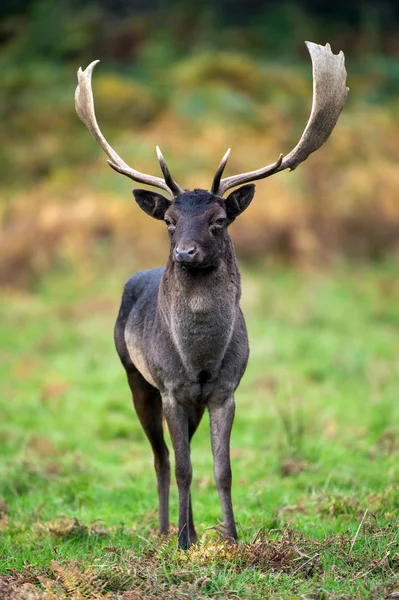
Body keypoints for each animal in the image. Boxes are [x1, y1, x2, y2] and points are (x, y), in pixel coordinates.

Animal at [76, 41, 350, 548]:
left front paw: (232, 537)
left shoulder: (225, 390)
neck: (200, 357)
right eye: (169, 221)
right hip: (133, 374)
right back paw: (166, 529)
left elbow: (223, 470)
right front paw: (187, 541)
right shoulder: (170, 387)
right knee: (161, 458)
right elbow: (184, 467)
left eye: (219, 220)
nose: (185, 252)